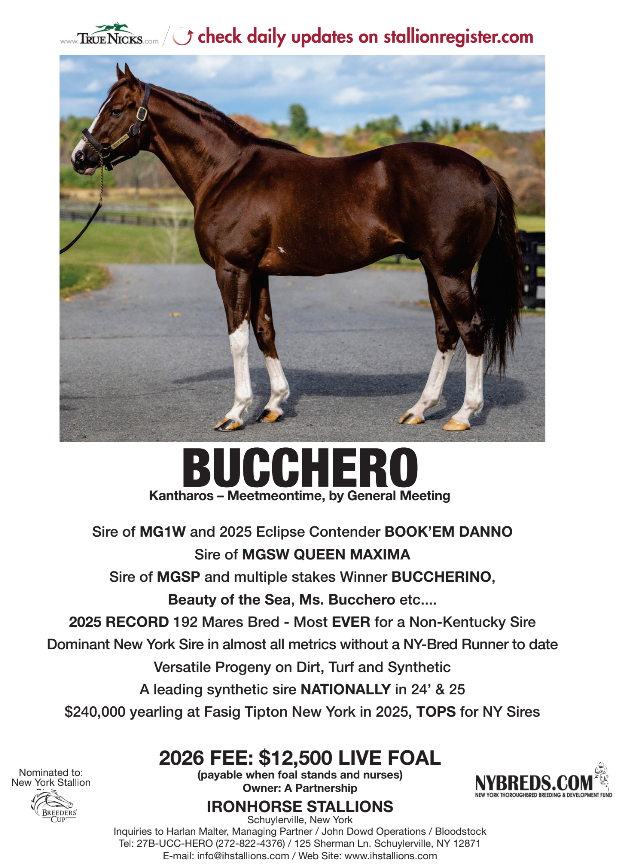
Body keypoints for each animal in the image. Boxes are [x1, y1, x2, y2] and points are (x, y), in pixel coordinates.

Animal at [71, 64, 523, 433]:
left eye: (116, 110)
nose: (79, 157)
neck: (227, 172)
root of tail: (482, 171)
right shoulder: (258, 271)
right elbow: (265, 330)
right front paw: (273, 404)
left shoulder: (233, 269)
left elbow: (237, 337)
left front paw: (236, 412)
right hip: (433, 269)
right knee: (446, 332)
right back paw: (419, 409)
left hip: (451, 271)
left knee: (471, 328)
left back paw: (463, 414)